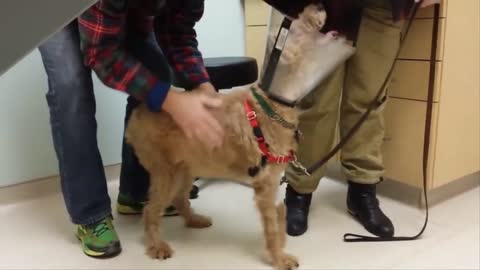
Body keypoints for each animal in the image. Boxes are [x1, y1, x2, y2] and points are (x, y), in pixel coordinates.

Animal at [125, 4, 328, 270]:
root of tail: (139, 111)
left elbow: (280, 215)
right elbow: (272, 228)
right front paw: (278, 257)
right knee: (150, 210)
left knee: (179, 200)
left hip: (186, 169)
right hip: (166, 173)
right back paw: (157, 245)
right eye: (300, 25)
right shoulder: (266, 185)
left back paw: (194, 220)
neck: (272, 104)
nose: (319, 7)